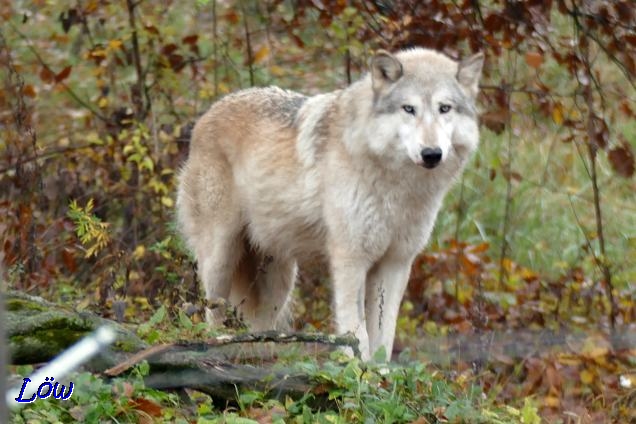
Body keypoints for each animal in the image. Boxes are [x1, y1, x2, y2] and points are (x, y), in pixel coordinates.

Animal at [174, 48, 482, 360]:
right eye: (409, 109)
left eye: (445, 108)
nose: (432, 153)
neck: (399, 188)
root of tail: (205, 116)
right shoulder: (350, 259)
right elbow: (357, 333)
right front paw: (358, 369)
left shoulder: (396, 263)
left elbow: (384, 336)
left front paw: (379, 371)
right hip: (221, 260)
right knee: (212, 315)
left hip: (279, 280)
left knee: (261, 326)